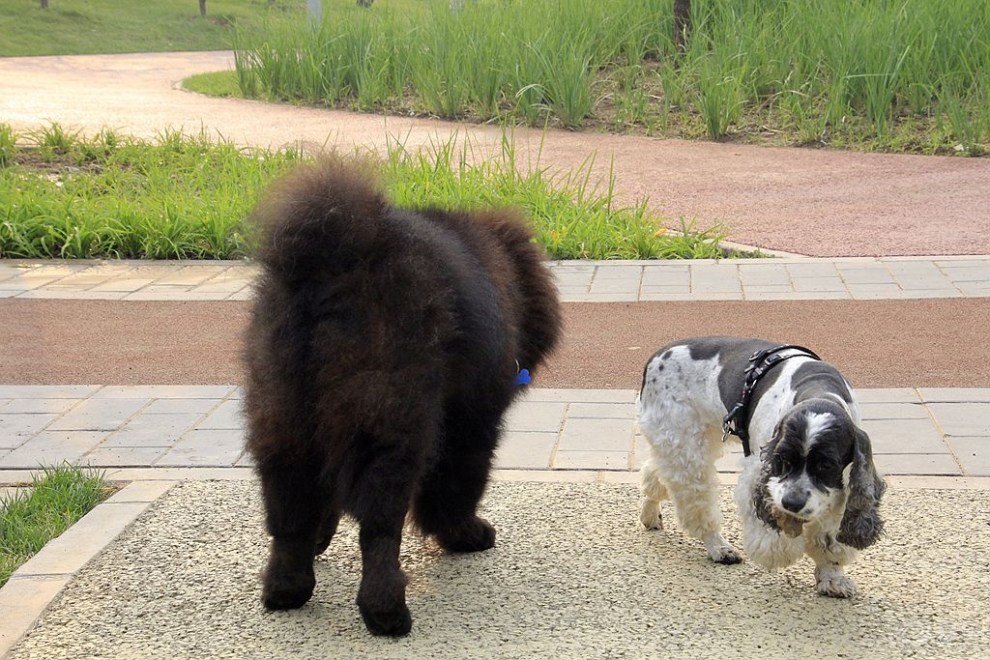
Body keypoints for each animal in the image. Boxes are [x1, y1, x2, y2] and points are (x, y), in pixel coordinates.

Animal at [244, 157, 560, 636]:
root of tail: (335, 262)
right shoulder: (471, 420)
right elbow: (458, 486)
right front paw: (466, 534)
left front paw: (321, 538)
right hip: (390, 418)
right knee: (379, 528)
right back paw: (387, 612)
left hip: (282, 412)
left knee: (289, 515)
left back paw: (286, 590)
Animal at [640, 336, 888, 600]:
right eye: (783, 460)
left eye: (826, 465)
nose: (792, 503)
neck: (818, 387)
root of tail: (657, 355)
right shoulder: (760, 473)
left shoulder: (840, 487)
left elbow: (829, 537)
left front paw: (832, 578)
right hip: (684, 445)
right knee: (696, 503)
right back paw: (719, 547)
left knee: (656, 474)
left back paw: (650, 515)